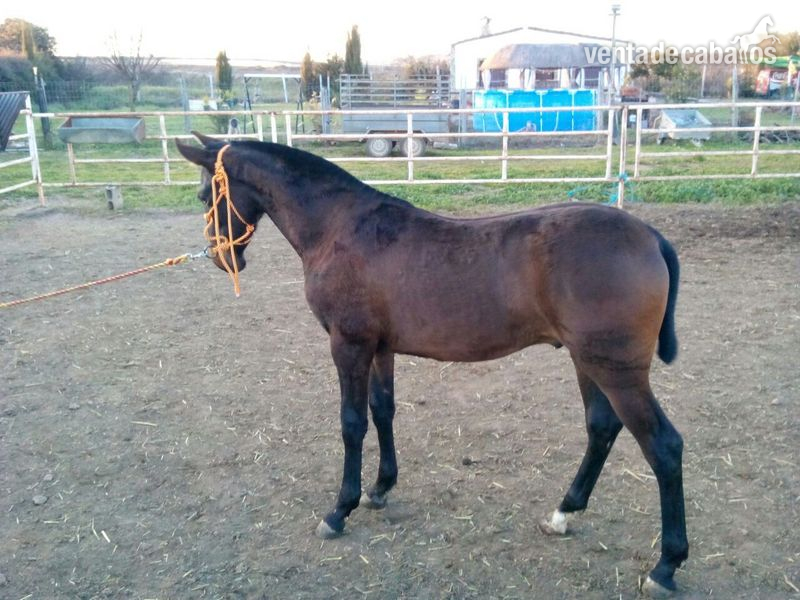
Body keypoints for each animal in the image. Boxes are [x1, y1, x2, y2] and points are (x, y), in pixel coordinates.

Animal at [176, 134, 687, 597]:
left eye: (204, 195)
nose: (221, 256)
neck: (340, 228)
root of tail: (650, 237)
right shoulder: (380, 348)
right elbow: (383, 411)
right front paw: (380, 488)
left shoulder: (349, 345)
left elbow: (352, 423)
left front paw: (340, 510)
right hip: (590, 362)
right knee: (602, 428)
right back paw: (564, 513)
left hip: (617, 370)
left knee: (663, 446)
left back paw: (666, 567)